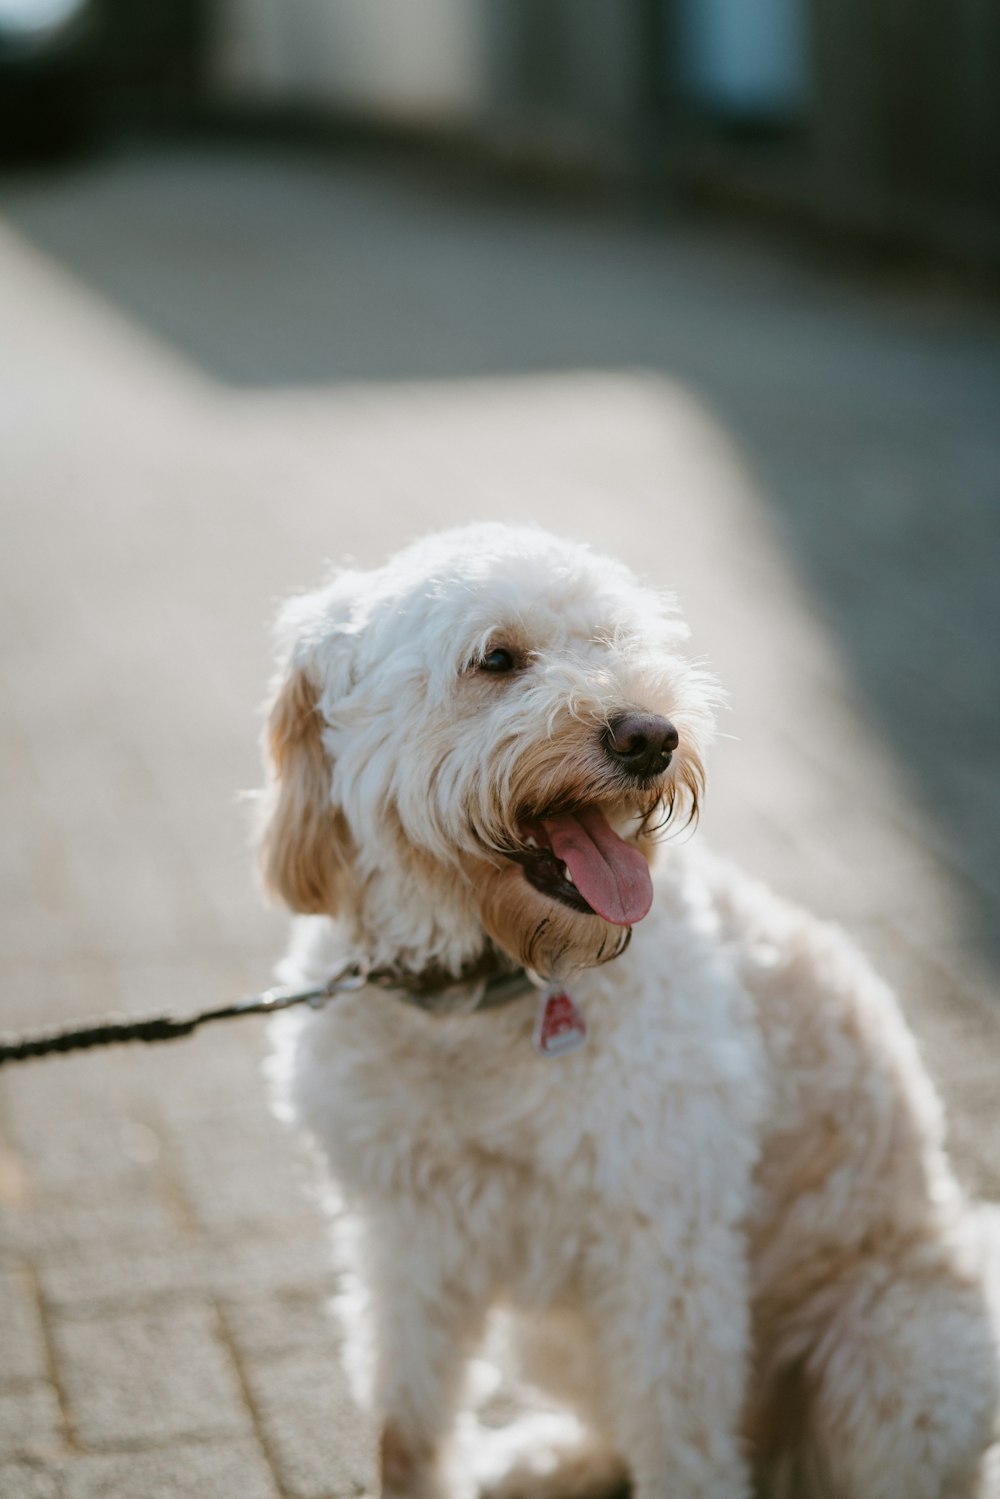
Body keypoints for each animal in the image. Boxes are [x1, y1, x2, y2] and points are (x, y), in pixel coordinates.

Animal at [260, 521, 1000, 1493]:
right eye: (497, 658)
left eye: (617, 642)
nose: (651, 736)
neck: (484, 996)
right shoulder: (407, 1237)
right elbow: (408, 1422)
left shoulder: (666, 1248)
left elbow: (680, 1440)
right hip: (557, 1335)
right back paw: (549, 1459)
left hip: (894, 1347)